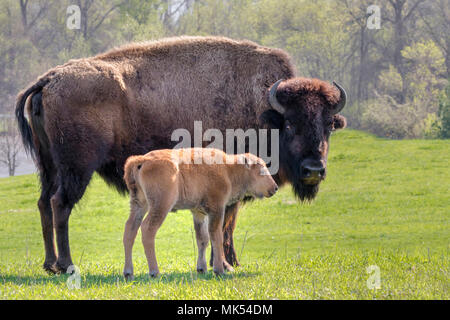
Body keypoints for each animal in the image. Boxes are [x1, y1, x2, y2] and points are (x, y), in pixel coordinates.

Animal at [123, 148, 278, 278]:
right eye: (261, 169)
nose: (275, 187)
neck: (228, 170)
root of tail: (141, 160)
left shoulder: (199, 213)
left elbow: (202, 239)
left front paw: (201, 268)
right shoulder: (217, 209)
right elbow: (216, 237)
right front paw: (219, 270)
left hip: (139, 205)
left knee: (130, 230)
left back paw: (128, 272)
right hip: (160, 206)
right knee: (147, 229)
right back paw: (154, 272)